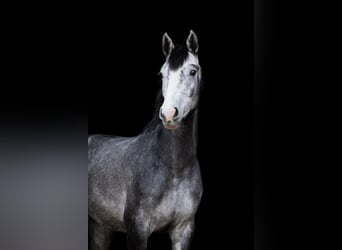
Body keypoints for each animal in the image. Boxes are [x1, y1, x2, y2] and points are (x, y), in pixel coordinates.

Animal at [88, 30, 203, 249]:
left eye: (193, 72)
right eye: (162, 74)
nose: (168, 114)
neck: (174, 169)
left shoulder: (183, 230)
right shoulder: (137, 229)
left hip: (100, 227)